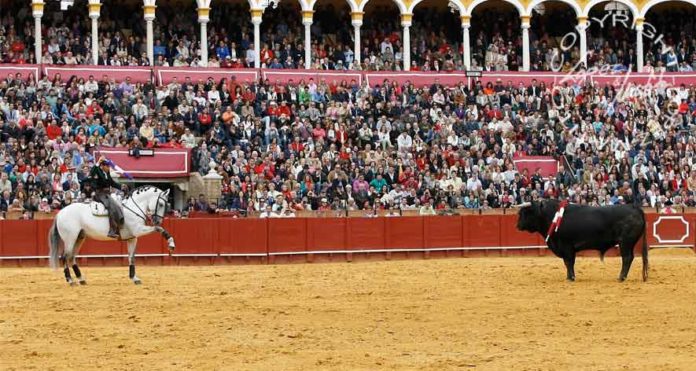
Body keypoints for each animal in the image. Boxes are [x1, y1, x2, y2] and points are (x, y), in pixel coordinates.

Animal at [512, 201, 648, 282]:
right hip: (628, 243)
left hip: (625, 242)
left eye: (525, 213)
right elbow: (569, 263)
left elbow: (568, 262)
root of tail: (635, 208)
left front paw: (570, 278)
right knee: (630, 257)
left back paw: (621, 277)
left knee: (626, 258)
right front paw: (569, 277)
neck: (550, 216)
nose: (518, 225)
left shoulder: (566, 246)